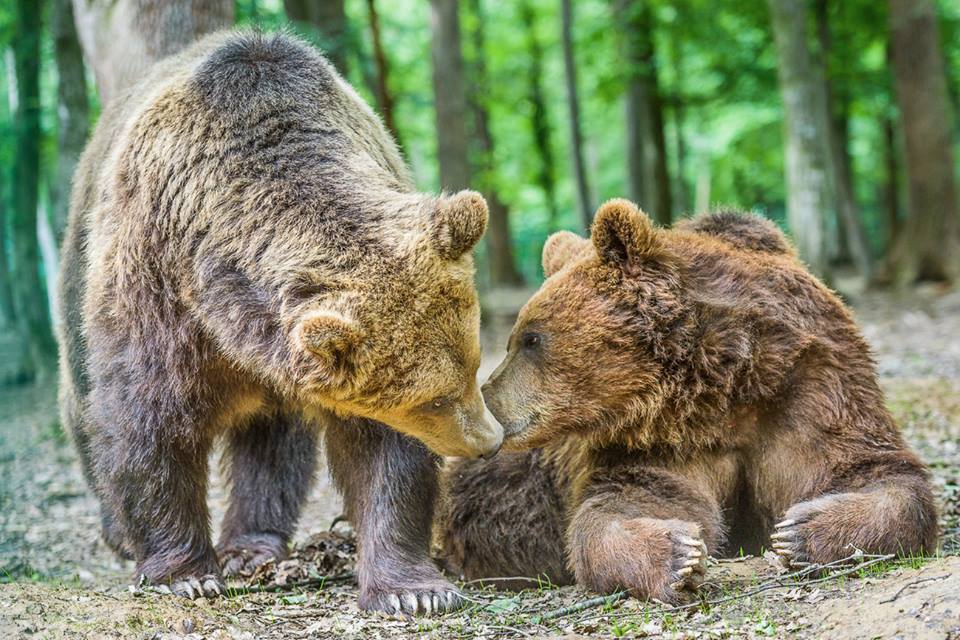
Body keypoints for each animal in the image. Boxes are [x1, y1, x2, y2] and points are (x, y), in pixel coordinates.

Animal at [57, 30, 503, 615]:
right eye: (433, 400)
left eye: (473, 366)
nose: (489, 442)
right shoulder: (153, 284)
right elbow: (148, 421)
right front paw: (185, 575)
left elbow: (384, 452)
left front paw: (413, 589)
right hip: (77, 267)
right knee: (85, 402)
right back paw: (121, 533)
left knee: (270, 444)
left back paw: (252, 546)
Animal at [436, 199, 938, 603]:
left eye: (531, 338)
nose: (487, 403)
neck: (723, 389)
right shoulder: (660, 442)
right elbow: (631, 503)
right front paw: (677, 554)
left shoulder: (811, 394)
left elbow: (873, 474)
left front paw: (801, 531)